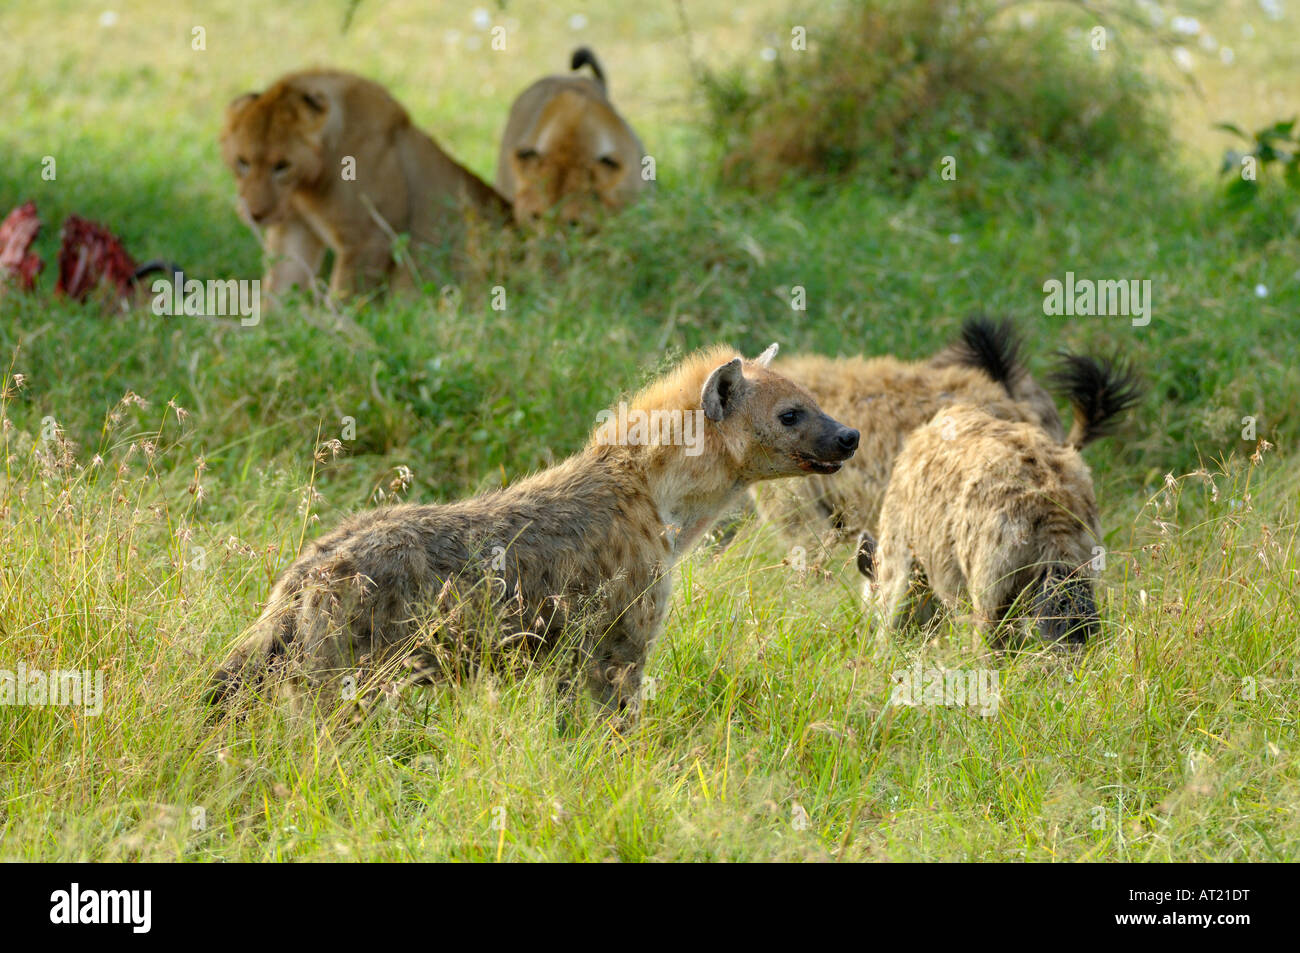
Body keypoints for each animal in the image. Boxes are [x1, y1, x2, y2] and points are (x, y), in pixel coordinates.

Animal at [220, 69, 510, 301]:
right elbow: (280, 286)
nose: (255, 214)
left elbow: (344, 299)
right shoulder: (295, 226)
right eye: (243, 162)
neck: (307, 187)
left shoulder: (369, 238)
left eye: (282, 165)